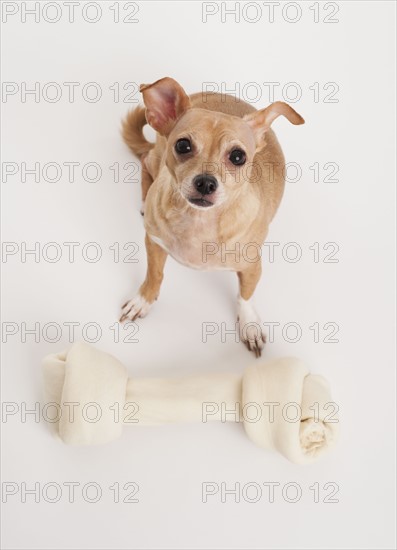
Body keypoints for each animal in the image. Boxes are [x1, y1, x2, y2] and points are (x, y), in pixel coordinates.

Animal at [119, 77, 302, 358]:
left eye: (238, 157)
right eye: (183, 145)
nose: (206, 182)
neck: (198, 221)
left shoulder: (252, 266)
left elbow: (245, 295)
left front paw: (249, 323)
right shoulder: (153, 243)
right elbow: (155, 275)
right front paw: (143, 300)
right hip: (156, 157)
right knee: (145, 159)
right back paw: (143, 197)